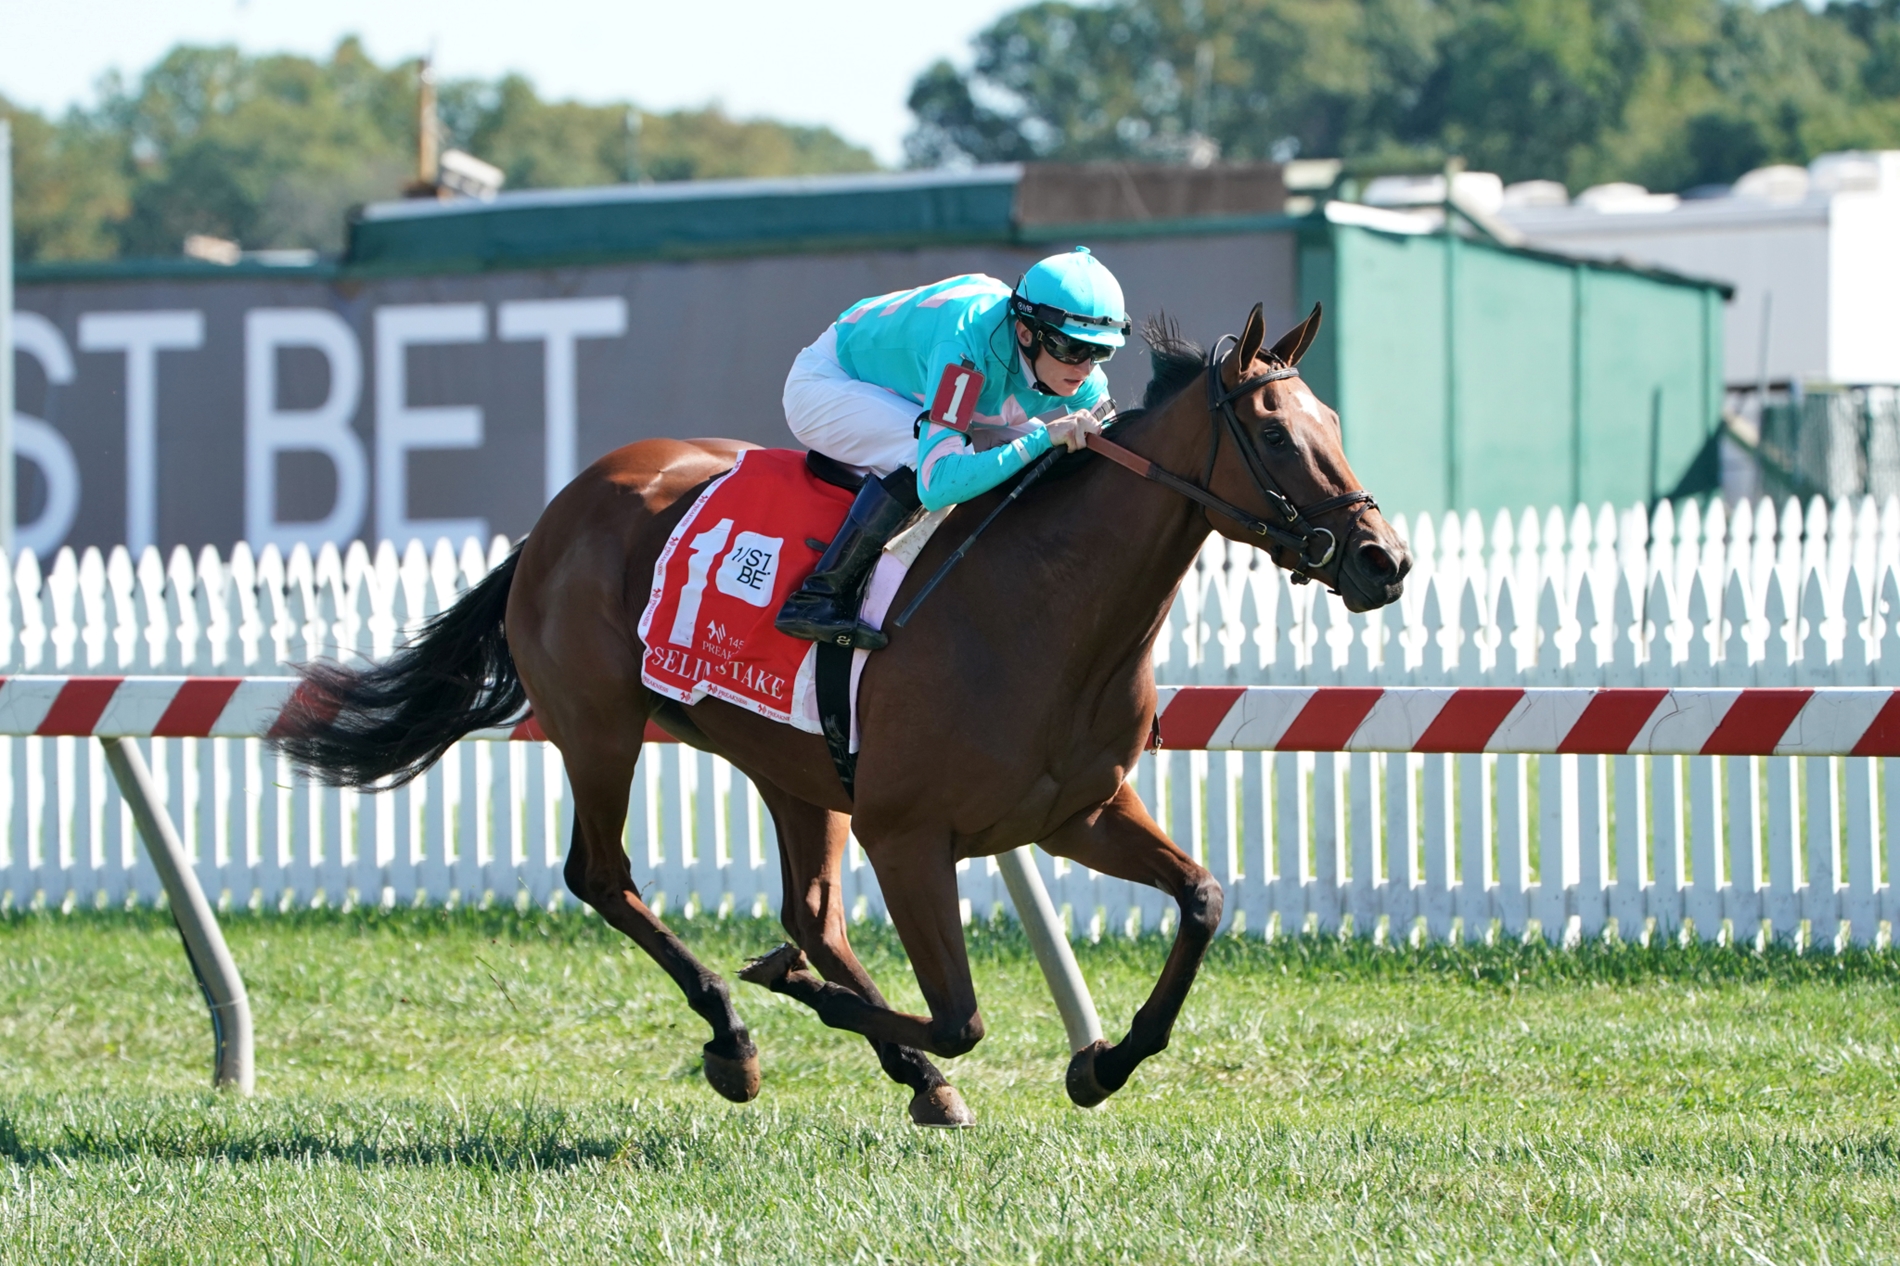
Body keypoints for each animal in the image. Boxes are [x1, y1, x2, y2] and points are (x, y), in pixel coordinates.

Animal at [277, 300, 1413, 1117]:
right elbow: (960, 1019)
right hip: (599, 728)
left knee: (811, 914)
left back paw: (884, 1061)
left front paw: (1103, 1063)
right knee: (603, 877)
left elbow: (1203, 900)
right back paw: (735, 1038)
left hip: (794, 765)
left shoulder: (1075, 813)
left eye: (1333, 424)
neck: (1041, 607)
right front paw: (805, 1005)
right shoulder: (908, 834)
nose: (1384, 560)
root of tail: (564, 509)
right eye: (1276, 434)